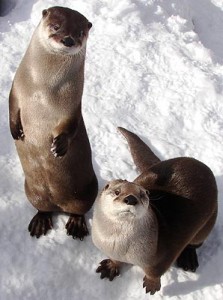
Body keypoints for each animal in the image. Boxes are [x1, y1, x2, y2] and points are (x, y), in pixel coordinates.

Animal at [8, 5, 97, 239]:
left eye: (80, 33)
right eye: (56, 26)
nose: (68, 39)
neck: (42, 90)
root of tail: (59, 205)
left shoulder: (73, 107)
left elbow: (72, 126)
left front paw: (59, 146)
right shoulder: (16, 90)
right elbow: (10, 106)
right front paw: (15, 130)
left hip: (87, 191)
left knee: (80, 210)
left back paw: (76, 225)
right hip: (32, 192)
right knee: (43, 208)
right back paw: (40, 221)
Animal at [91, 127, 217, 296]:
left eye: (142, 195)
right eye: (117, 192)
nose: (131, 199)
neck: (119, 247)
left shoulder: (164, 255)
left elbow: (154, 272)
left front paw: (152, 284)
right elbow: (114, 260)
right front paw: (111, 266)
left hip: (209, 221)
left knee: (196, 242)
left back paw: (188, 258)